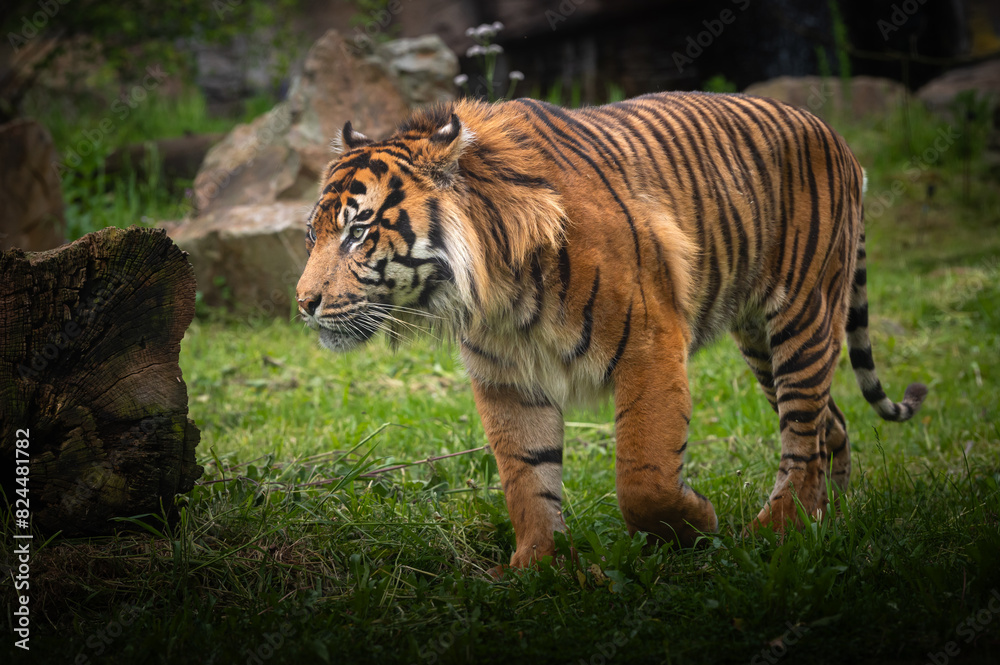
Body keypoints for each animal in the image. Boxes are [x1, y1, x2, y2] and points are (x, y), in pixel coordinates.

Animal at [295, 91, 927, 571]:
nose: (304, 304)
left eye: (358, 232)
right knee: (828, 422)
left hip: (802, 313)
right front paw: (539, 567)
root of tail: (833, 133)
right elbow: (527, 478)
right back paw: (827, 519)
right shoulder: (507, 380)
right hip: (760, 342)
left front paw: (697, 525)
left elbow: (644, 478)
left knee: (801, 432)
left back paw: (778, 530)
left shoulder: (650, 345)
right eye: (313, 234)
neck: (495, 290)